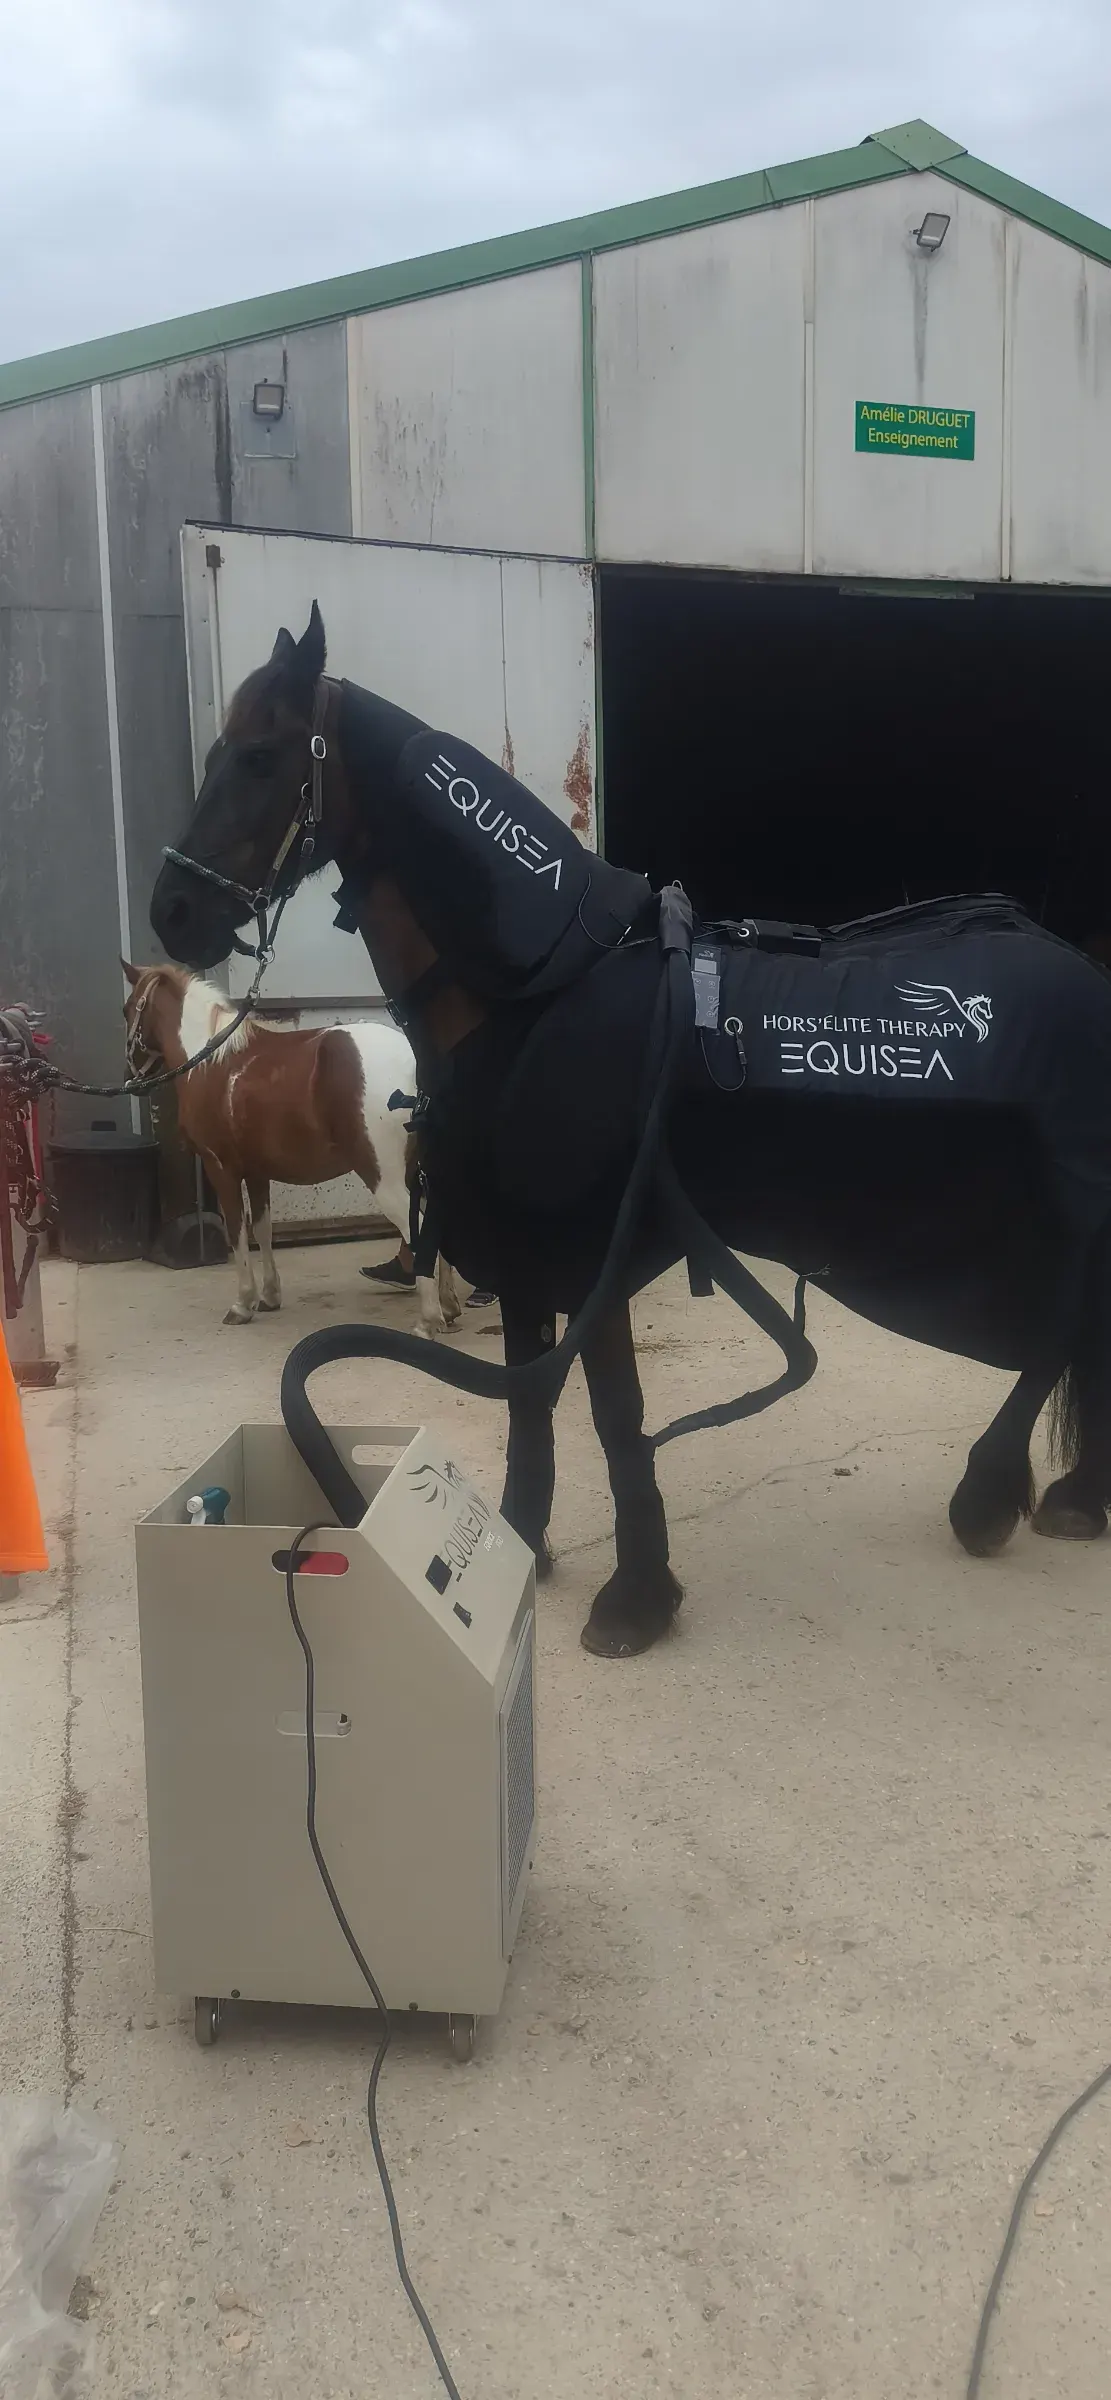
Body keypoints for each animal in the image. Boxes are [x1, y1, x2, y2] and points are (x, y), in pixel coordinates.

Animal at [121, 963, 462, 1335]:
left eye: (128, 1009)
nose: (130, 1078)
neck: (211, 1060)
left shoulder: (220, 1167)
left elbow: (237, 1232)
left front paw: (243, 1303)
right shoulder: (257, 1172)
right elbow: (262, 1229)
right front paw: (269, 1296)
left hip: (383, 1177)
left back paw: (428, 1321)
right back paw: (447, 1307)